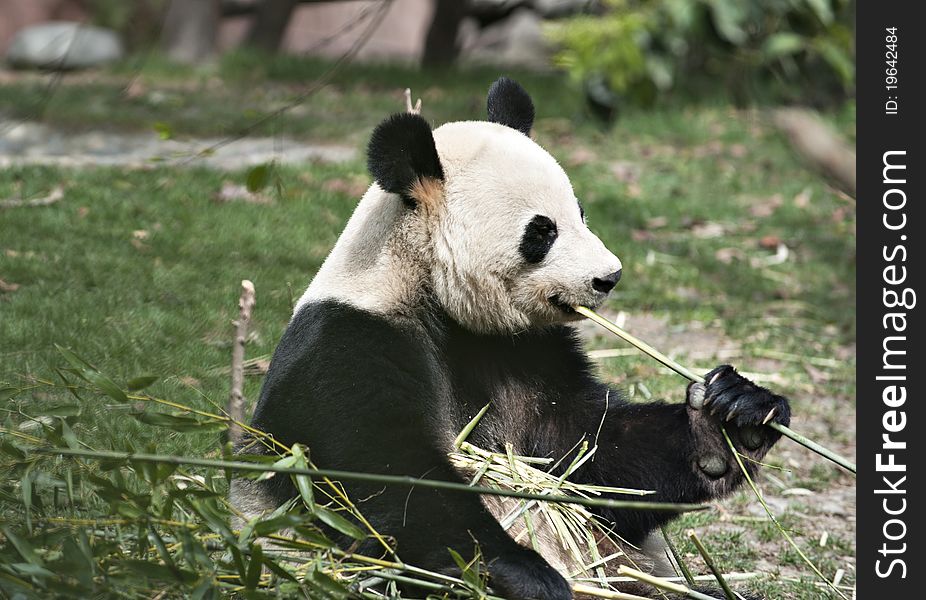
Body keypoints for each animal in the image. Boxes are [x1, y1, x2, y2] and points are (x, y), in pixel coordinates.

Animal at [232, 79, 792, 600]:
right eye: (542, 232)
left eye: (581, 213)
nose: (609, 277)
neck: (429, 286)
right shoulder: (351, 341)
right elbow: (383, 469)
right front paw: (523, 573)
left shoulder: (527, 353)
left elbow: (588, 454)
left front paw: (731, 420)